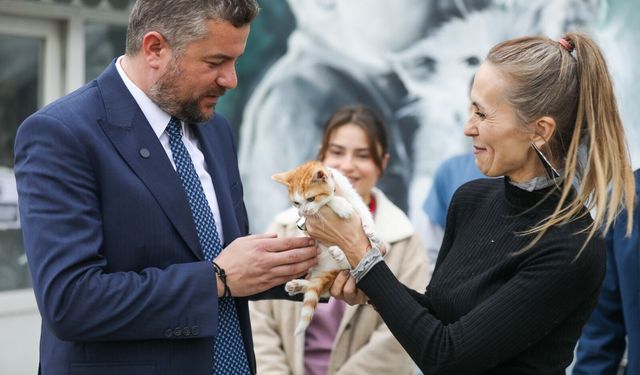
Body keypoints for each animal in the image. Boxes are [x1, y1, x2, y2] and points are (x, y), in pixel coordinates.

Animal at [272, 161, 384, 334]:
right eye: (296, 203)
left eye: (311, 198)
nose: (303, 211)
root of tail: (329, 269)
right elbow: (330, 200)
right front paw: (341, 205)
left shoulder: (355, 199)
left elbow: (363, 214)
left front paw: (372, 235)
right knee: (321, 288)